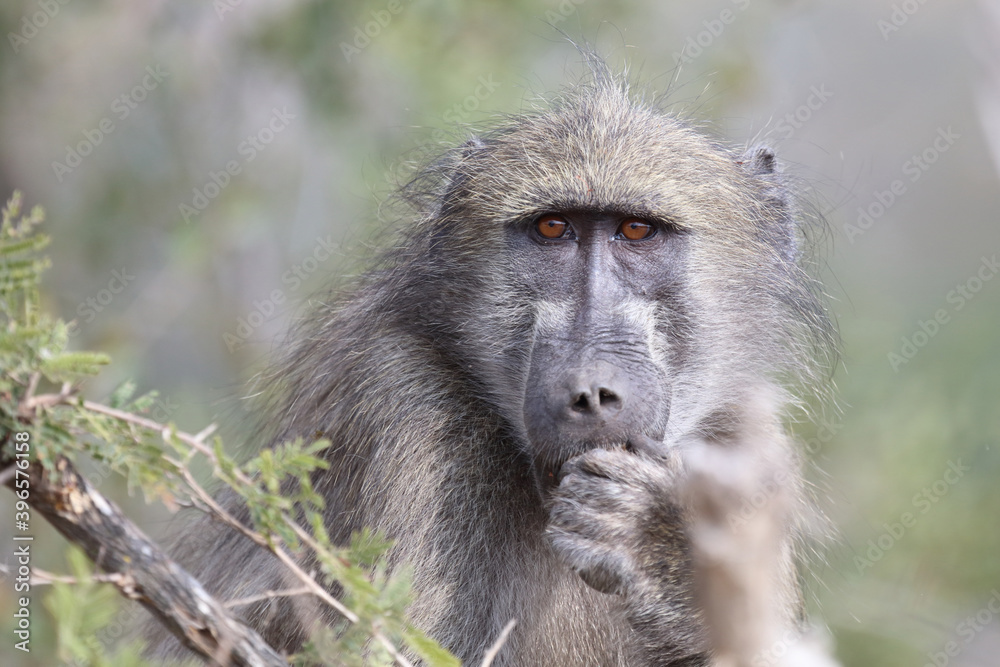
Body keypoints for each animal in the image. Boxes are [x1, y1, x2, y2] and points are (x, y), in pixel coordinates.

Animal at [144, 60, 834, 666]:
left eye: (638, 232)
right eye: (553, 229)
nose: (590, 392)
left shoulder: (747, 448)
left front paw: (657, 546)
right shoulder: (405, 411)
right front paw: (655, 541)